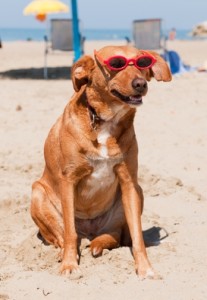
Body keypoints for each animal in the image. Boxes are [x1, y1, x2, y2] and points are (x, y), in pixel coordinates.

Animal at [29, 45, 171, 278]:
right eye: (116, 63)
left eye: (142, 63)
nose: (141, 84)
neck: (105, 121)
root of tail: (90, 231)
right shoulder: (68, 180)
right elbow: (69, 233)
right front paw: (69, 264)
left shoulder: (129, 182)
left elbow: (137, 236)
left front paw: (145, 268)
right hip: (37, 192)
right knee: (63, 236)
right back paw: (63, 252)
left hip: (136, 194)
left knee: (115, 236)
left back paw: (99, 243)